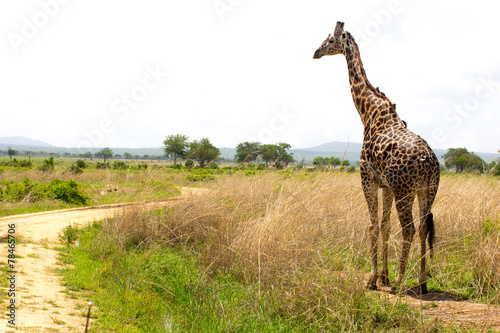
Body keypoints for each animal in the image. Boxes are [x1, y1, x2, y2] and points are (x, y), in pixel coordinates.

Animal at [314, 21, 440, 294]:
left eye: (330, 40)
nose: (315, 52)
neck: (367, 111)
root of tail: (428, 162)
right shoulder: (387, 186)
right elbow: (384, 226)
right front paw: (384, 276)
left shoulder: (367, 178)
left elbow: (372, 225)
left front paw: (373, 279)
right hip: (427, 190)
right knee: (423, 228)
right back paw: (422, 282)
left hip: (406, 191)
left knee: (409, 228)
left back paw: (401, 283)